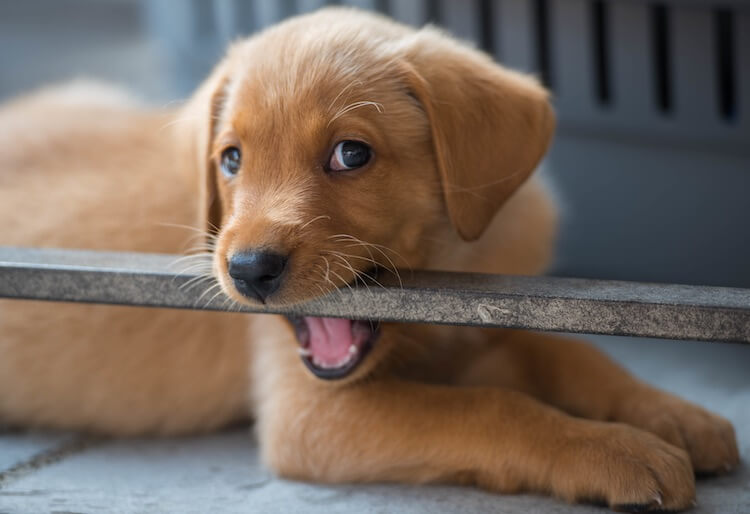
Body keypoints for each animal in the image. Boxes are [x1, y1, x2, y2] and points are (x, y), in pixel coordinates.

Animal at [0, 7, 740, 508]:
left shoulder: (488, 323)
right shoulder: (311, 415)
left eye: (350, 154)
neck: (444, 275)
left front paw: (671, 413)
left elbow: (570, 351)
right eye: (230, 160)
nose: (248, 271)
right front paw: (613, 448)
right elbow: (492, 407)